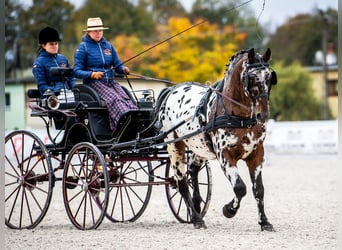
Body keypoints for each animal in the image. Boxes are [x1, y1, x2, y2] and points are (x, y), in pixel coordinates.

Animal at [156, 48, 276, 230]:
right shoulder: (225, 156)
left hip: (199, 148)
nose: (262, 114)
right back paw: (197, 219)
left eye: (269, 77)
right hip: (175, 147)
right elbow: (240, 188)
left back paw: (196, 209)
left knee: (193, 171)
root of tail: (171, 90)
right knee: (182, 182)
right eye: (252, 78)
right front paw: (229, 209)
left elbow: (258, 190)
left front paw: (265, 222)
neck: (238, 116)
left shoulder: (256, 155)